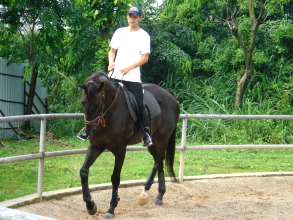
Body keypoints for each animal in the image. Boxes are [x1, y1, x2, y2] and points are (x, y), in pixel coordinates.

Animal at [77, 72, 178, 218]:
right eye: (83, 102)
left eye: (98, 104)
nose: (90, 131)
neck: (110, 113)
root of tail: (168, 94)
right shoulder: (96, 146)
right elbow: (84, 171)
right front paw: (91, 206)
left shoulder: (120, 150)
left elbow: (115, 178)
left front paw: (111, 209)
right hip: (152, 143)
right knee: (158, 161)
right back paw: (146, 192)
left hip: (162, 139)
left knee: (159, 161)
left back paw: (158, 196)